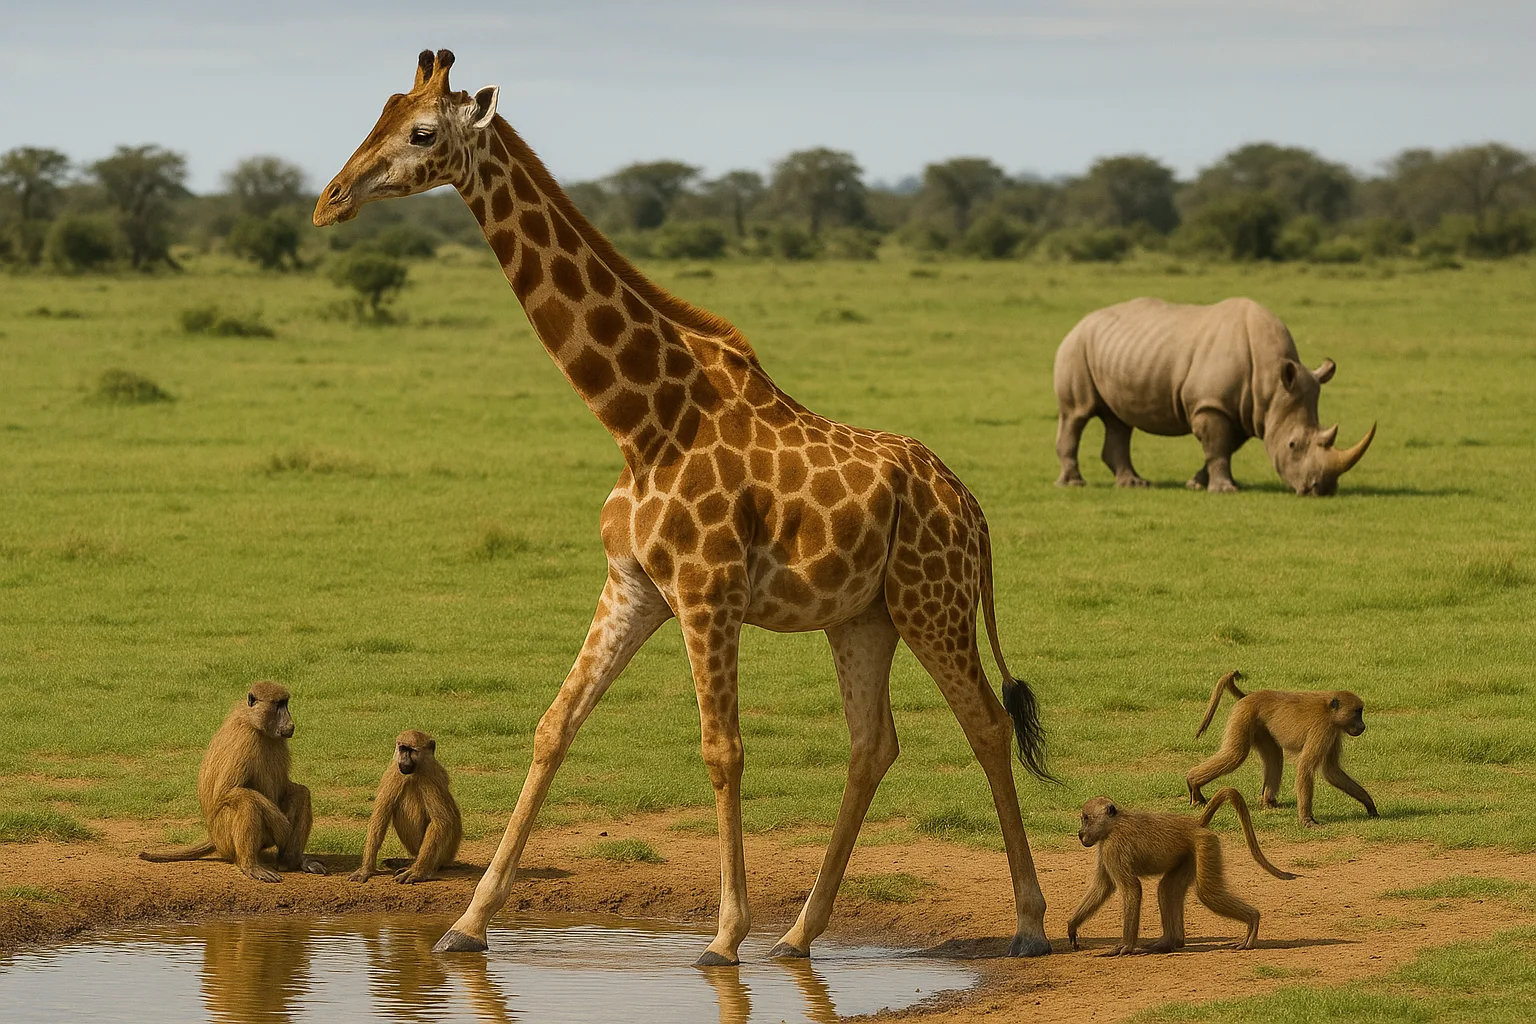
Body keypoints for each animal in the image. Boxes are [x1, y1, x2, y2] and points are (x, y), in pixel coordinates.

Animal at [314, 49, 1054, 965]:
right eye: (378, 111)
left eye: (421, 132)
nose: (330, 199)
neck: (645, 420)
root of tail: (971, 507)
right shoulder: (632, 586)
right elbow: (554, 725)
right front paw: (466, 923)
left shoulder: (708, 593)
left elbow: (722, 750)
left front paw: (724, 934)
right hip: (864, 615)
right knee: (872, 743)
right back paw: (800, 932)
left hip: (932, 602)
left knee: (985, 723)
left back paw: (1028, 922)